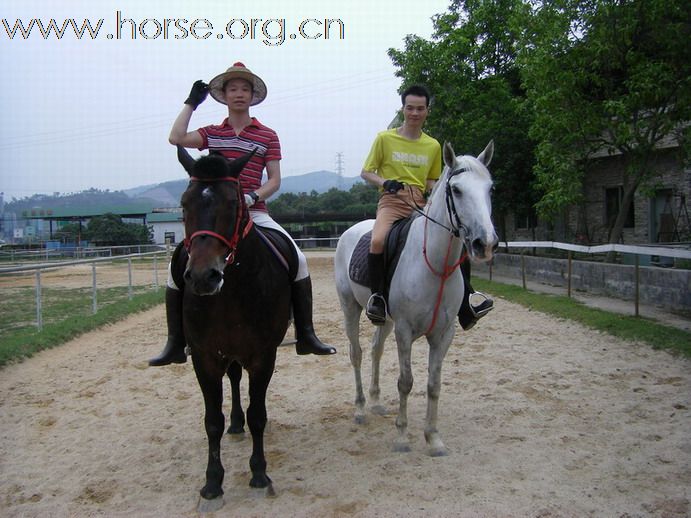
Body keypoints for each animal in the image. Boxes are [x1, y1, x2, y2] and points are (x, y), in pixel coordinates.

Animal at [176, 146, 292, 504]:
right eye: (184, 203)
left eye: (232, 203)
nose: (203, 277)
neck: (231, 292)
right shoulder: (205, 357)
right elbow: (212, 420)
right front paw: (212, 482)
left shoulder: (263, 356)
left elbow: (258, 414)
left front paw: (259, 473)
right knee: (235, 379)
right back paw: (235, 424)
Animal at [336, 140, 498, 458]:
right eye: (456, 190)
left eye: (490, 188)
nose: (484, 243)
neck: (435, 266)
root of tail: (351, 230)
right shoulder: (404, 330)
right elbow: (406, 382)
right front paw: (402, 437)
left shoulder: (444, 333)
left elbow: (433, 384)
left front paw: (433, 439)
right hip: (350, 307)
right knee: (356, 353)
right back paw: (360, 409)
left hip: (384, 319)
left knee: (374, 350)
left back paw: (375, 402)